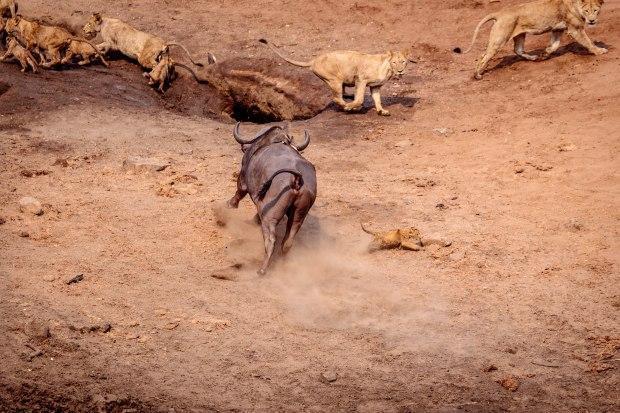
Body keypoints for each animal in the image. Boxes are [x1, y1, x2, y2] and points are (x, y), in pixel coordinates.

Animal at [225, 120, 318, 274]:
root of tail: (297, 179)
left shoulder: (243, 177)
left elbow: (239, 192)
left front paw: (230, 205)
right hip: (299, 214)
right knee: (288, 240)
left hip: (270, 215)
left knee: (271, 239)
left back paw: (262, 269)